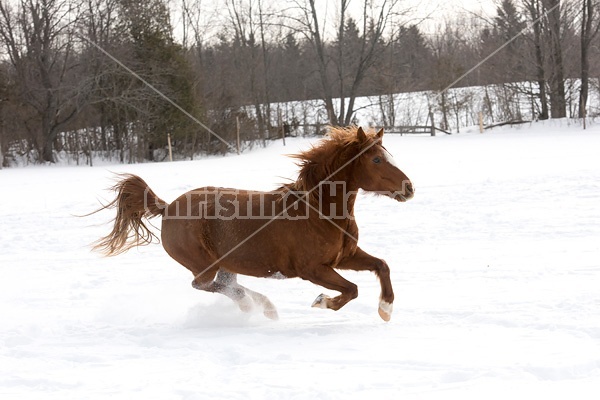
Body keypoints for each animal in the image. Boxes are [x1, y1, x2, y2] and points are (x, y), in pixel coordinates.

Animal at [92, 127, 412, 322]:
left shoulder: (344, 257)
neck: (318, 211)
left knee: (226, 284)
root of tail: (167, 207)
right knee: (207, 286)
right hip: (204, 265)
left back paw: (264, 307)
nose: (409, 188)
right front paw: (322, 301)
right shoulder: (312, 269)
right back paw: (258, 306)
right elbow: (351, 290)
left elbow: (382, 265)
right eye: (376, 160)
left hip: (227, 263)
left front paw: (386, 309)